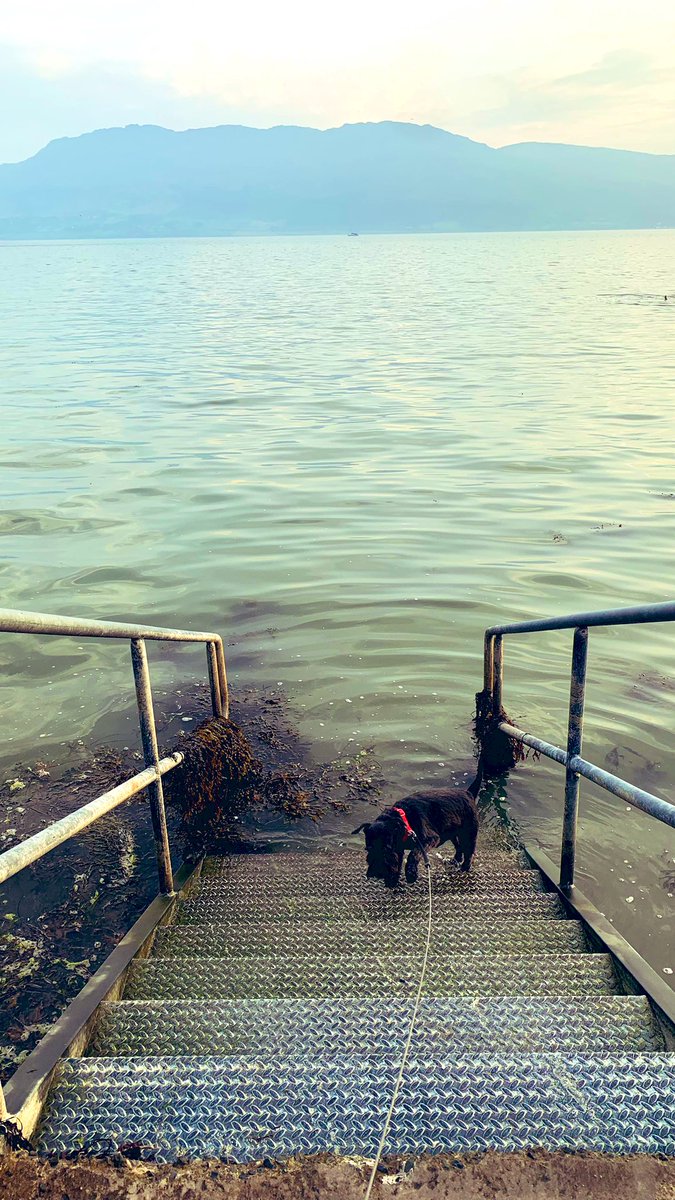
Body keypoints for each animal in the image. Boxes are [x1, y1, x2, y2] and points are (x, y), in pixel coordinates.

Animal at [348, 763, 480, 888]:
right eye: (368, 848)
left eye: (385, 849)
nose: (374, 874)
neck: (404, 820)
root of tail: (468, 793)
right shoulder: (398, 848)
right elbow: (398, 862)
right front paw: (393, 880)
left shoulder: (428, 840)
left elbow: (413, 854)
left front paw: (411, 874)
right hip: (452, 832)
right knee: (458, 846)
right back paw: (456, 859)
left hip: (469, 833)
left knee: (469, 851)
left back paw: (465, 867)